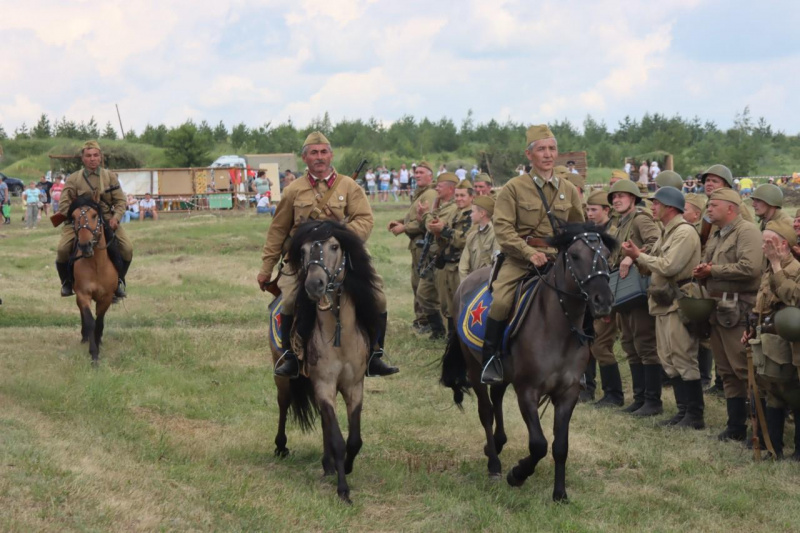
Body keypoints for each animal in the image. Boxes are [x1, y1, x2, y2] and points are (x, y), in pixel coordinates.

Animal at [67, 193, 118, 364]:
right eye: (73, 217)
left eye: (95, 215)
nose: (85, 245)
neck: (96, 264)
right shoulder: (83, 294)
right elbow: (90, 321)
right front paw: (94, 354)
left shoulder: (106, 297)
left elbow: (99, 321)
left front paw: (98, 342)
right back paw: (85, 338)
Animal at [268, 218, 382, 500]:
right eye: (303, 250)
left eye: (334, 246)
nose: (314, 284)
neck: (339, 334)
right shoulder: (324, 385)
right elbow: (339, 440)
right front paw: (343, 490)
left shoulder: (354, 387)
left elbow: (354, 439)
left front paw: (346, 467)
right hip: (282, 378)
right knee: (284, 405)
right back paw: (281, 446)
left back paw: (328, 463)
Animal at [440, 221, 616, 502]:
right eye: (575, 256)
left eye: (607, 256)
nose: (604, 301)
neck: (558, 328)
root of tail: (465, 280)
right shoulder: (528, 391)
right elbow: (539, 444)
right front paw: (518, 474)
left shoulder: (568, 393)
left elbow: (560, 445)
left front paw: (559, 494)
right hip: (475, 367)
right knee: (486, 410)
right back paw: (494, 464)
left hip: (502, 372)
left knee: (497, 397)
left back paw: (498, 443)